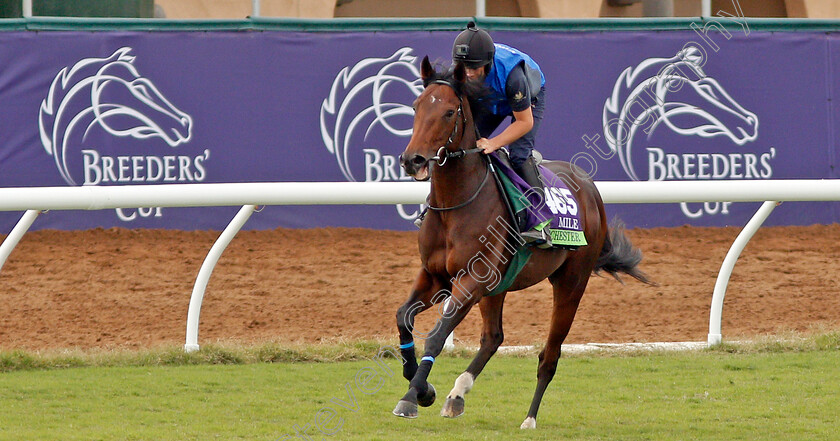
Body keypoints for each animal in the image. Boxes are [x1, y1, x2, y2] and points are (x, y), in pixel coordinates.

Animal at [398, 56, 652, 428]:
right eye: (416, 106)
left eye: (448, 112)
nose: (412, 159)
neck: (455, 204)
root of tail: (590, 188)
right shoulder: (435, 276)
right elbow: (404, 317)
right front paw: (423, 389)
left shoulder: (471, 280)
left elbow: (437, 335)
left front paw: (411, 398)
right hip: (498, 285)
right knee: (493, 338)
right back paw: (457, 395)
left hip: (571, 283)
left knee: (550, 355)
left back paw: (530, 417)